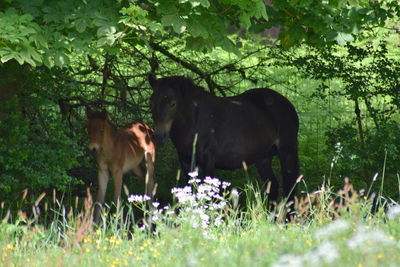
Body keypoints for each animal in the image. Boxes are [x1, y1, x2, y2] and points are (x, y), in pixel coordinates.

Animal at [148, 75, 298, 201]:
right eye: (151, 103)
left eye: (173, 103)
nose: (159, 136)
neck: (194, 121)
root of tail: (288, 104)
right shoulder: (185, 160)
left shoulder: (208, 160)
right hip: (263, 158)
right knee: (273, 186)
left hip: (287, 151)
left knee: (290, 187)